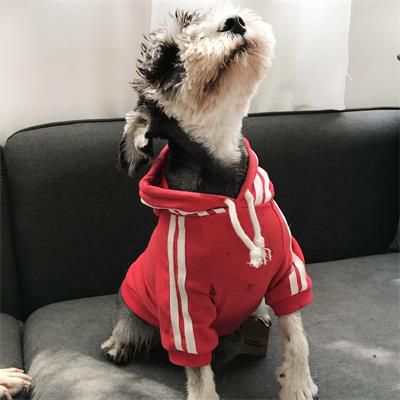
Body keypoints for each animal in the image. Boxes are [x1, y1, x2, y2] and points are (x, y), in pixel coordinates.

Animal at [101, 4, 318, 400]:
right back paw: (119, 343)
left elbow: (297, 336)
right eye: (169, 58)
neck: (224, 189)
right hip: (134, 295)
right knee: (130, 321)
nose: (235, 21)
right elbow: (198, 367)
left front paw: (298, 383)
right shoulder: (186, 305)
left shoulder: (287, 272)